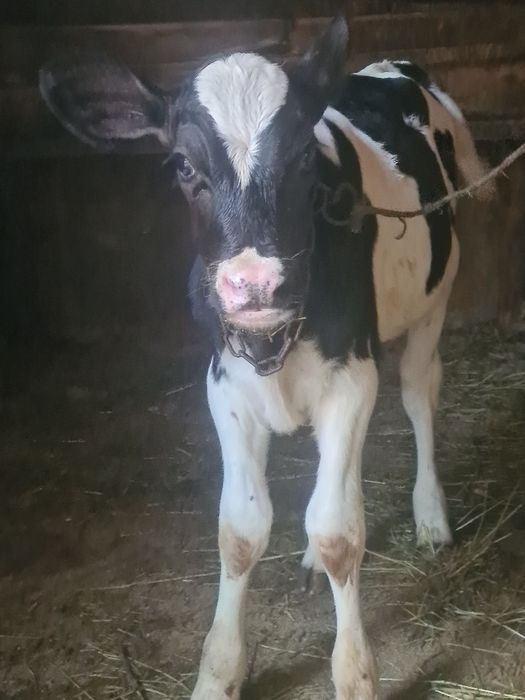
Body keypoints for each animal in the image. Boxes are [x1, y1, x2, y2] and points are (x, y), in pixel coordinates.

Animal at [40, 16, 491, 699]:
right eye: (182, 165)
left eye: (304, 154)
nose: (255, 285)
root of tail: (392, 65)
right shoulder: (225, 386)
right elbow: (240, 533)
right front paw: (219, 671)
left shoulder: (352, 376)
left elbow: (336, 532)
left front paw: (355, 674)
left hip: (435, 297)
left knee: (418, 394)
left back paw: (432, 517)